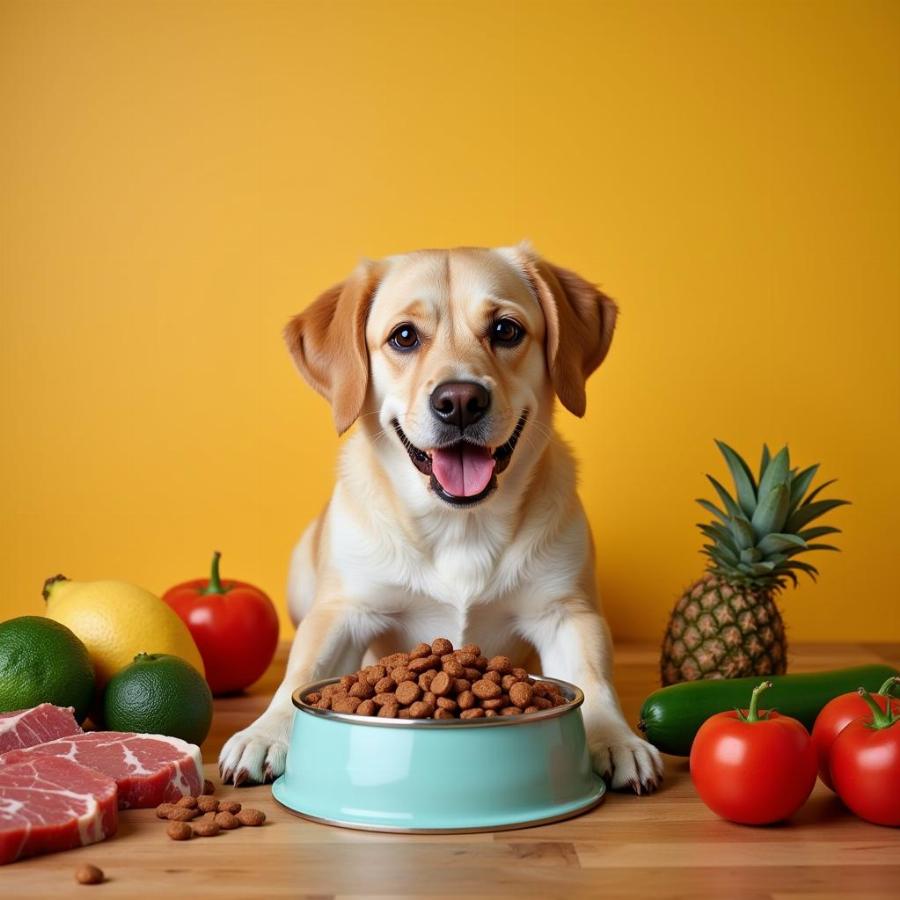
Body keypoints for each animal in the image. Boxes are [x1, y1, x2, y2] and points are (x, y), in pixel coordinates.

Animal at [221, 243, 664, 792]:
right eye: (404, 336)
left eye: (506, 330)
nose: (460, 402)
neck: (460, 527)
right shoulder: (344, 611)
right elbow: (301, 672)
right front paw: (268, 732)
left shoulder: (566, 612)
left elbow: (594, 679)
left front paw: (614, 737)